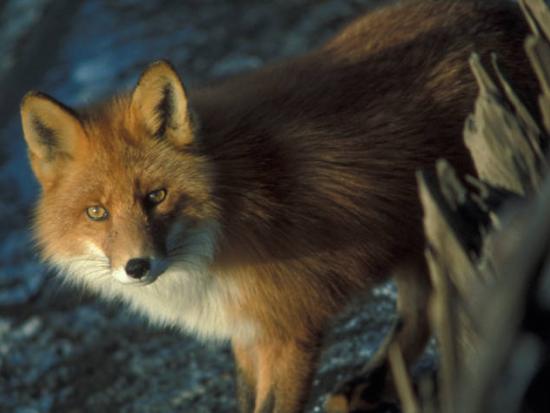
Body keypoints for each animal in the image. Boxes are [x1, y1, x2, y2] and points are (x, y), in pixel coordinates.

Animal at [20, 0, 536, 412]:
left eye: (156, 196)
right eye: (96, 212)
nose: (137, 266)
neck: (228, 219)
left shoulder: (290, 328)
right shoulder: (249, 330)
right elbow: (247, 400)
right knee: (421, 306)